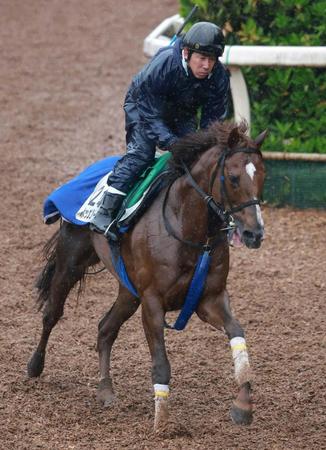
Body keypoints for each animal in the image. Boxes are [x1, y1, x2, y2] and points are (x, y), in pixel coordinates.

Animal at [27, 120, 268, 432]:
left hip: (128, 291)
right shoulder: (153, 301)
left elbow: (238, 336)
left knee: (105, 328)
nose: (254, 234)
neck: (186, 227)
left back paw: (105, 389)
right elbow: (161, 364)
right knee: (52, 313)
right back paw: (35, 365)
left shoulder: (209, 299)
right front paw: (162, 421)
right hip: (71, 262)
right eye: (234, 177)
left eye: (263, 175)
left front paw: (243, 406)